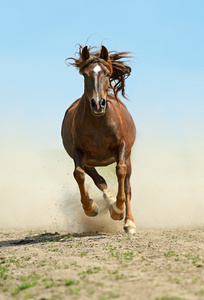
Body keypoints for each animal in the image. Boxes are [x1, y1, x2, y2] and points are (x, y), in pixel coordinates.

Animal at [61, 44, 137, 233]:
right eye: (85, 74)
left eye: (108, 74)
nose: (98, 104)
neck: (98, 124)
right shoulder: (78, 151)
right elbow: (79, 174)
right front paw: (91, 207)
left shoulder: (121, 147)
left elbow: (121, 171)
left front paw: (119, 210)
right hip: (89, 161)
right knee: (98, 179)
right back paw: (109, 201)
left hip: (128, 156)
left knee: (127, 186)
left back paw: (128, 221)